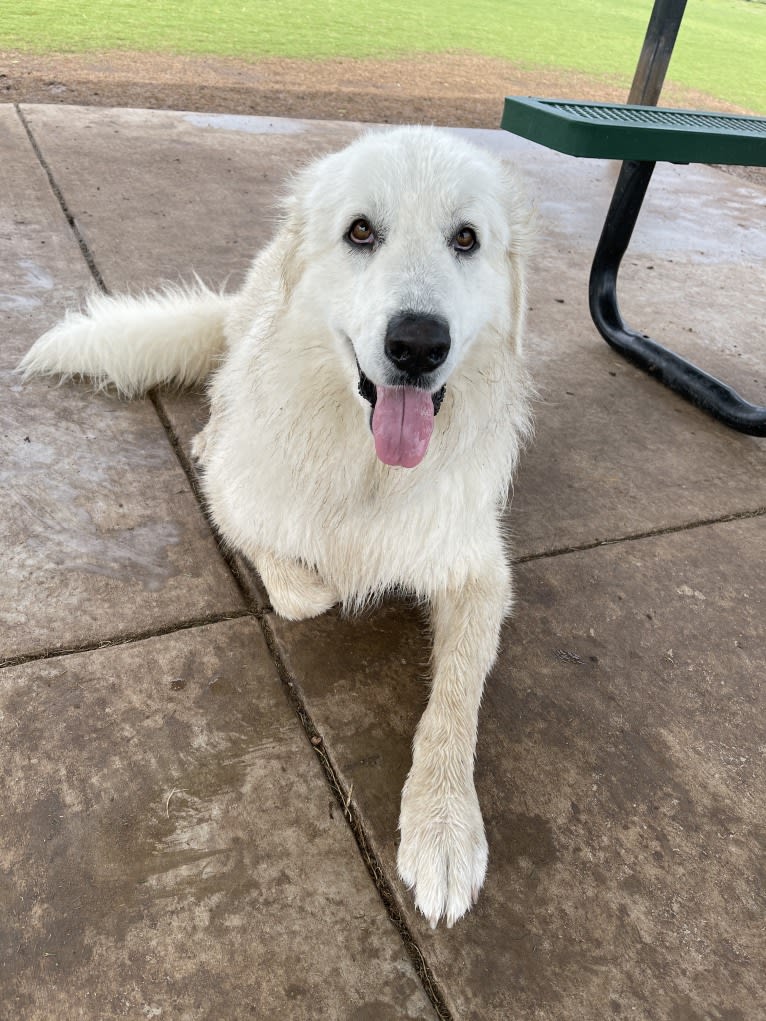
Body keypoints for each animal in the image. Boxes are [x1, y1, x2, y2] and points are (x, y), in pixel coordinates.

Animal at [19, 123, 535, 931]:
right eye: (361, 231)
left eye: (466, 239)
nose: (418, 345)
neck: (368, 466)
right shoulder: (237, 501)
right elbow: (303, 589)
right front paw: (325, 576)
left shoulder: (479, 572)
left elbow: (456, 701)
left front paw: (444, 825)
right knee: (224, 391)